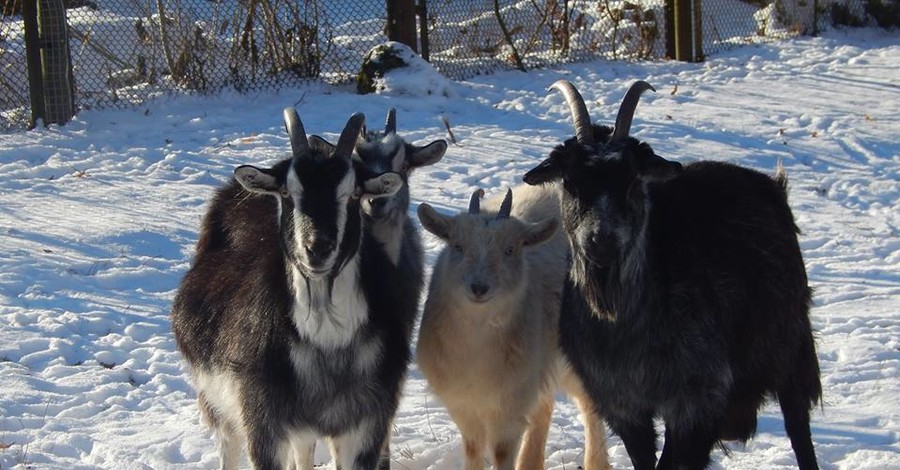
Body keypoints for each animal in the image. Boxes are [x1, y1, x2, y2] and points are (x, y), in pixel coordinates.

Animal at [171, 109, 414, 470]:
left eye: (354, 194)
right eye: (287, 193)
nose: (318, 248)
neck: (327, 337)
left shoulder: (366, 425)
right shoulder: (262, 419)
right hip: (216, 399)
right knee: (229, 444)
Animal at [416, 184, 612, 470]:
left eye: (510, 249)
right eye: (457, 245)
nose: (479, 287)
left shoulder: (509, 407)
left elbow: (501, 452)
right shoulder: (464, 404)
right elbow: (473, 449)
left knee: (589, 405)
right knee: (544, 406)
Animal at [520, 81, 824, 470]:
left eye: (632, 180)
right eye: (571, 182)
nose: (601, 240)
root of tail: (771, 184)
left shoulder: (696, 400)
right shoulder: (623, 405)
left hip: (790, 348)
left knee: (799, 428)